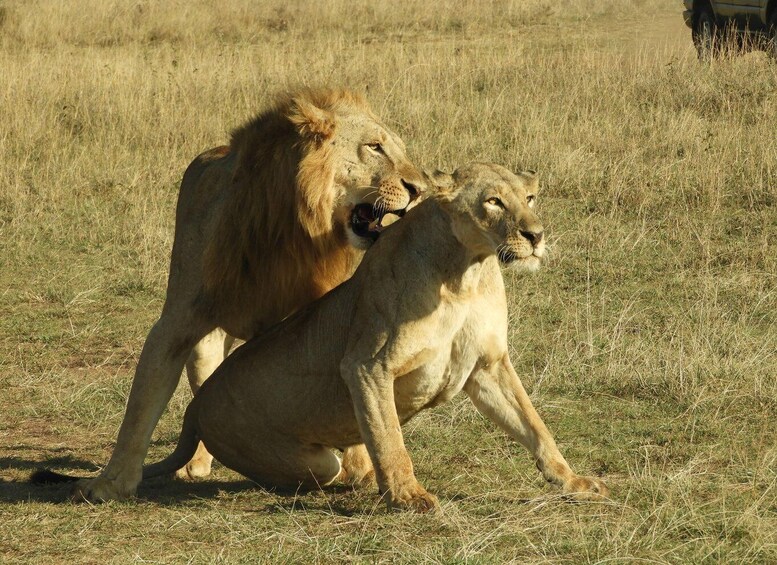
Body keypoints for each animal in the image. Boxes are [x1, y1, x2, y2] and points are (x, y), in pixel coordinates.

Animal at [51, 88, 427, 503]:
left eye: (400, 148)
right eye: (374, 147)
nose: (420, 189)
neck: (289, 228)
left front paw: (361, 468)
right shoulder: (176, 323)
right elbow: (140, 406)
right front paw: (110, 483)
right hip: (207, 344)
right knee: (202, 391)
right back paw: (195, 462)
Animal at [111, 162, 608, 511]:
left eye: (530, 197)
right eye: (494, 202)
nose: (536, 235)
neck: (465, 272)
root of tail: (195, 409)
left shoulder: (487, 366)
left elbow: (535, 427)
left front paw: (573, 481)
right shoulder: (367, 364)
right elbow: (389, 439)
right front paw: (408, 496)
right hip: (304, 457)